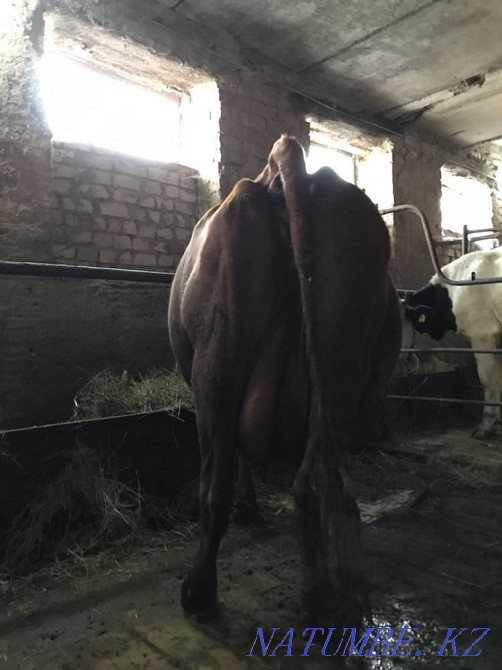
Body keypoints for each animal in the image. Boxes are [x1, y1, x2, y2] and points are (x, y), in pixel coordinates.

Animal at [168, 134, 401, 624]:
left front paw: (248, 507)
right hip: (340, 366)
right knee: (325, 482)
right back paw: (331, 592)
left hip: (216, 361)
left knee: (214, 486)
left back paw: (199, 590)